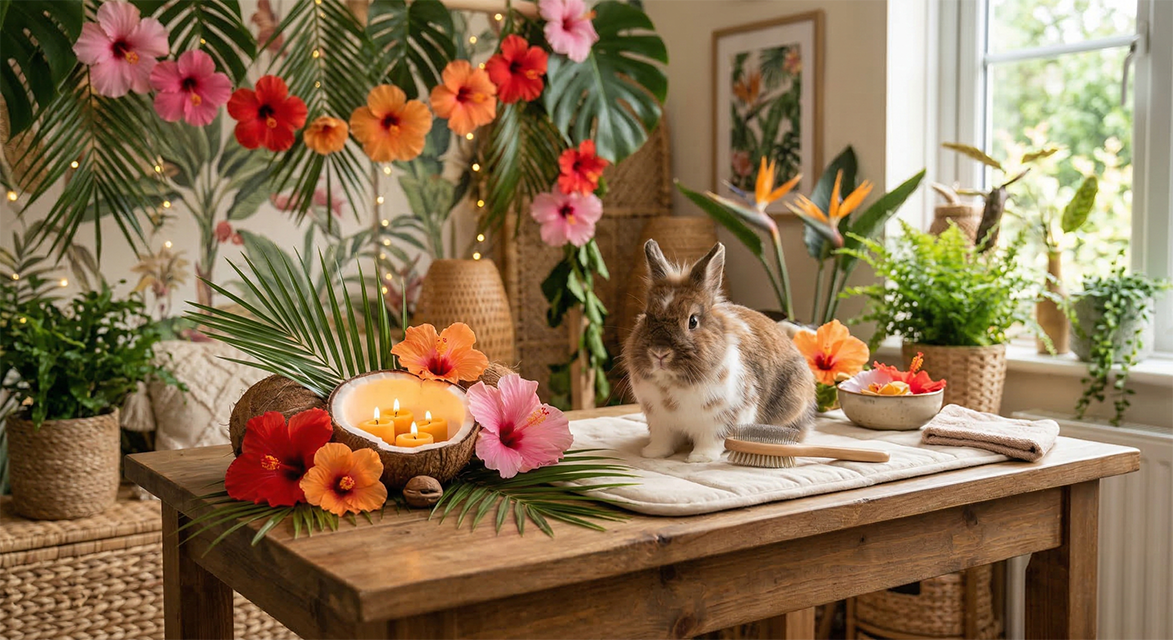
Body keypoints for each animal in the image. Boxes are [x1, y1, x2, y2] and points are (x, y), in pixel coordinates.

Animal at [623, 239, 816, 463]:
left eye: (692, 321)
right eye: (647, 317)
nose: (660, 352)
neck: (671, 384)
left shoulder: (721, 420)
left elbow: (713, 441)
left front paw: (700, 458)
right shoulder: (660, 423)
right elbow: (662, 441)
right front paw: (652, 454)